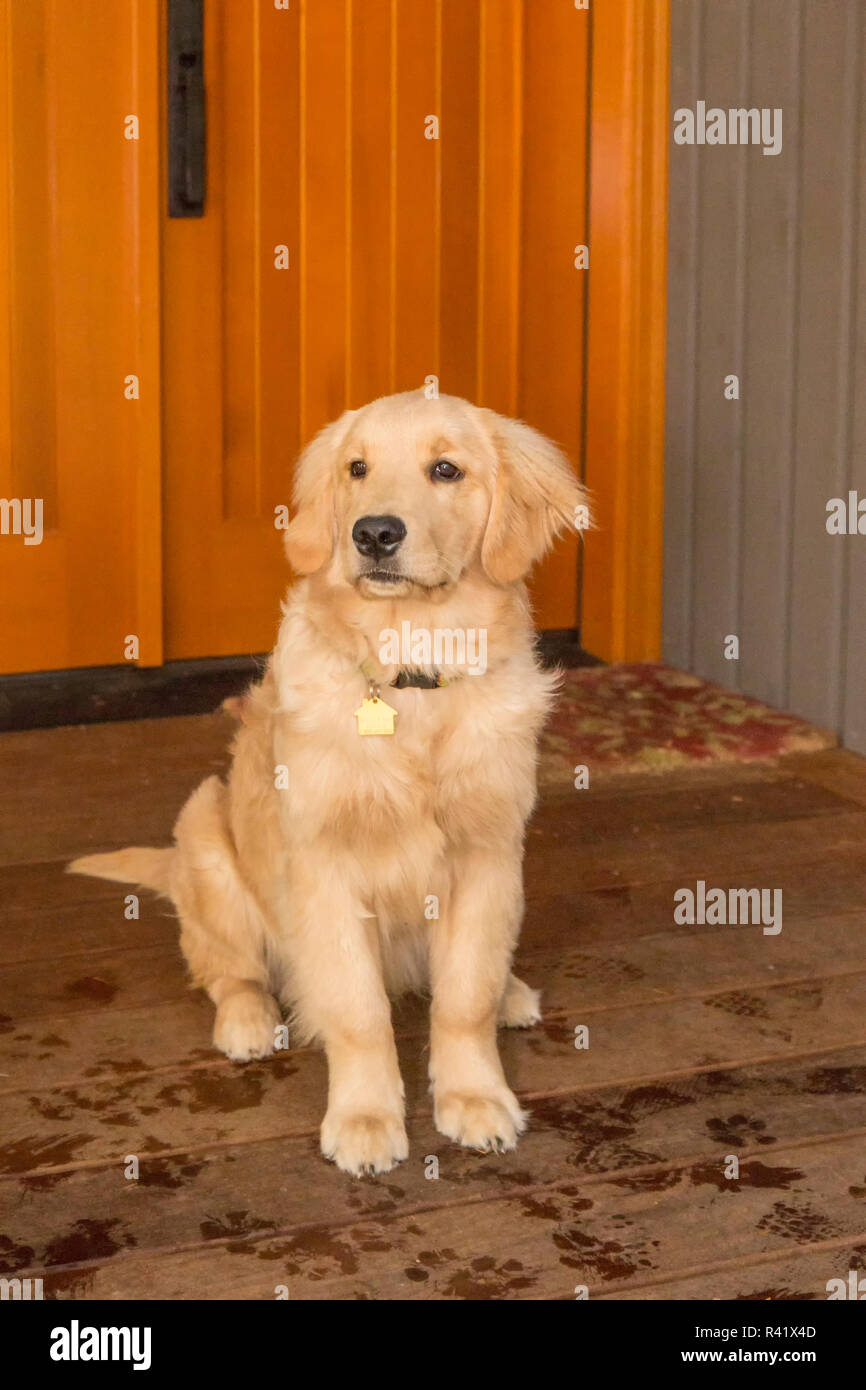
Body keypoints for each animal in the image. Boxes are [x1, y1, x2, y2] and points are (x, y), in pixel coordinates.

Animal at [72, 389, 589, 1173]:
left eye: (446, 469)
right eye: (357, 468)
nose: (372, 533)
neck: (411, 671)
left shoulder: (489, 854)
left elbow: (463, 996)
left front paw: (474, 1096)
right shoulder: (324, 867)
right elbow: (357, 1010)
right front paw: (366, 1118)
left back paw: (510, 993)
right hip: (206, 831)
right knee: (229, 969)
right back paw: (250, 1022)